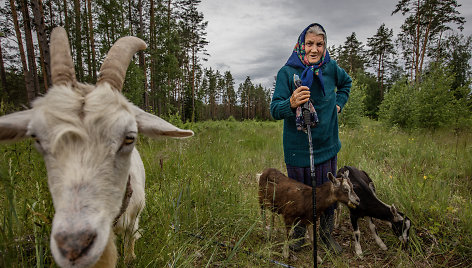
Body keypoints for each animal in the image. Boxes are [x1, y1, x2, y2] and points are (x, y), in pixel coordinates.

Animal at [0, 26, 194, 268]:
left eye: (129, 137)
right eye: (36, 137)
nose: (74, 245)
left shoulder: (134, 220)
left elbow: (130, 245)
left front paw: (130, 256)